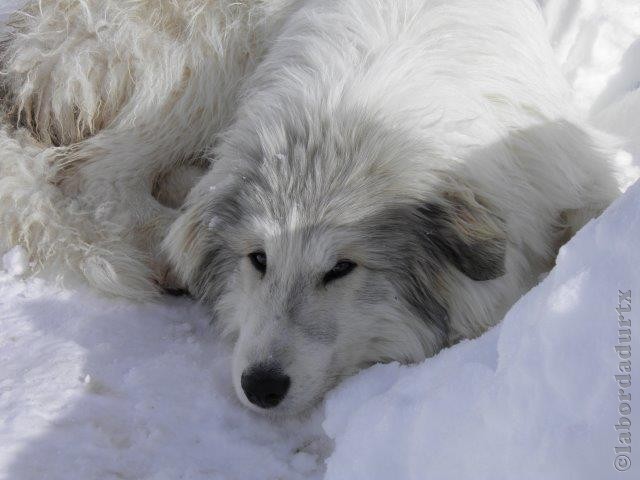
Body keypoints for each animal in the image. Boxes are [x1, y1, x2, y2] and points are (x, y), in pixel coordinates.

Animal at [0, 0, 620, 414]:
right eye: (258, 260)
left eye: (341, 269)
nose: (261, 388)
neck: (360, 104)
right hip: (204, 62)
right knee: (93, 174)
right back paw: (168, 251)